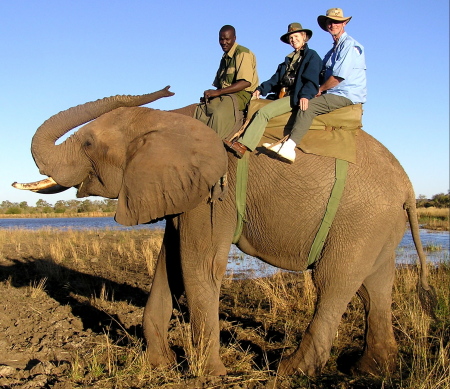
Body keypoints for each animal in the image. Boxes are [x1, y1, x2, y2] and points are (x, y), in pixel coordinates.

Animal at [14, 85, 436, 376]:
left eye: (87, 143)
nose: (165, 87)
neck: (169, 117)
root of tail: (408, 188)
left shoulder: (216, 192)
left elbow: (198, 265)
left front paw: (208, 374)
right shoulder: (183, 190)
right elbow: (170, 264)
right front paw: (162, 365)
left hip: (361, 220)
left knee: (334, 282)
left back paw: (289, 371)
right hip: (378, 224)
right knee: (374, 286)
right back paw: (373, 370)